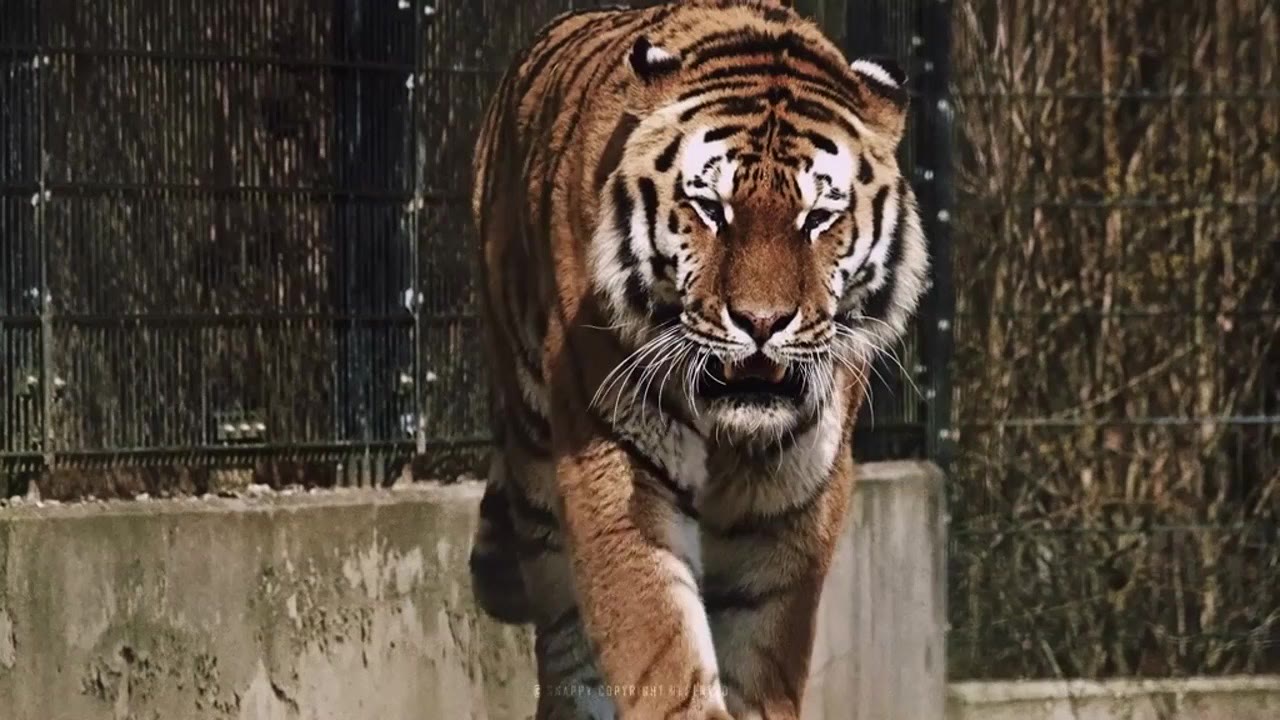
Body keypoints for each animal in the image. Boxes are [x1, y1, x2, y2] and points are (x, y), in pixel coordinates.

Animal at [467, 1, 929, 718]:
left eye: (818, 217)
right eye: (712, 209)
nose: (762, 322)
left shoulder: (794, 498)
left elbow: (760, 654)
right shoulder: (615, 458)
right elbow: (660, 646)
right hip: (536, 466)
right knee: (564, 638)